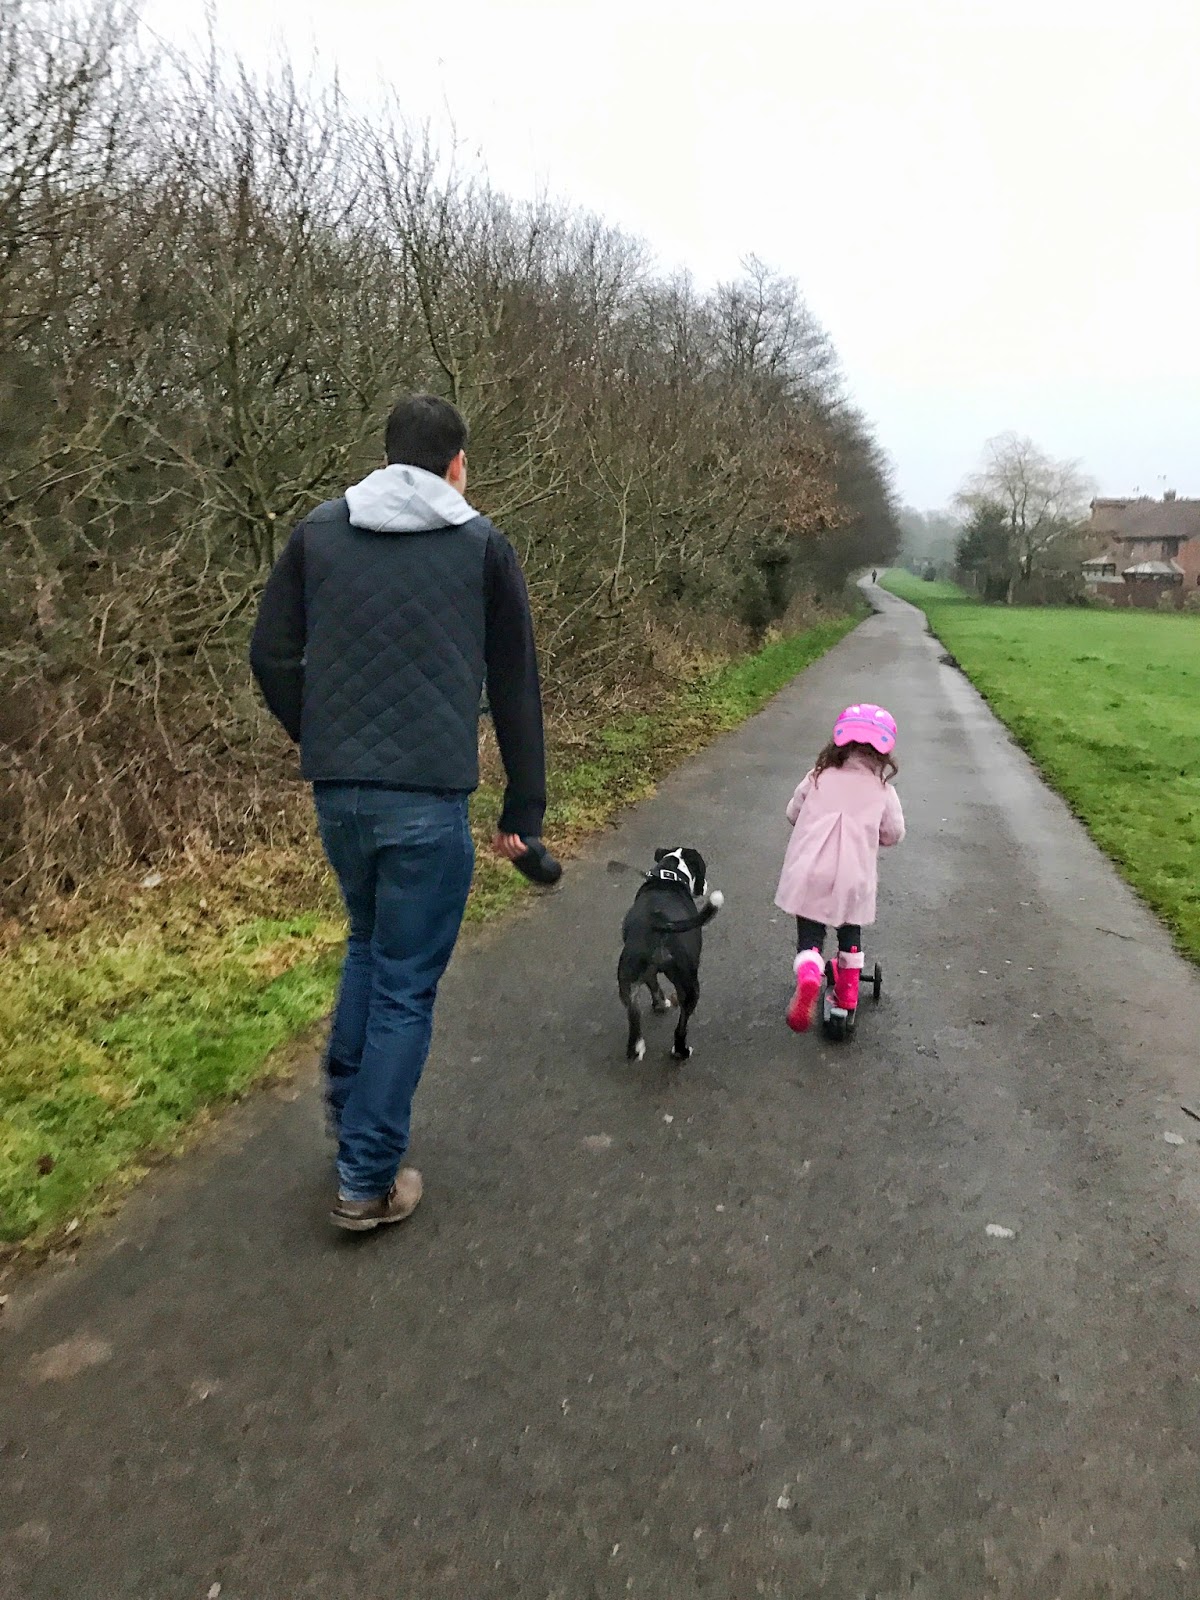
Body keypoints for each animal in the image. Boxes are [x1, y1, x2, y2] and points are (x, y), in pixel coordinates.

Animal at [617, 847, 723, 1062]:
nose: (705, 885)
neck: (669, 875)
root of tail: (658, 924)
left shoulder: (647, 975)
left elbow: (654, 987)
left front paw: (660, 1004)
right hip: (690, 987)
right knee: (681, 1026)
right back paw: (681, 1051)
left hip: (627, 980)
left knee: (633, 1015)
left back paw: (636, 1048)